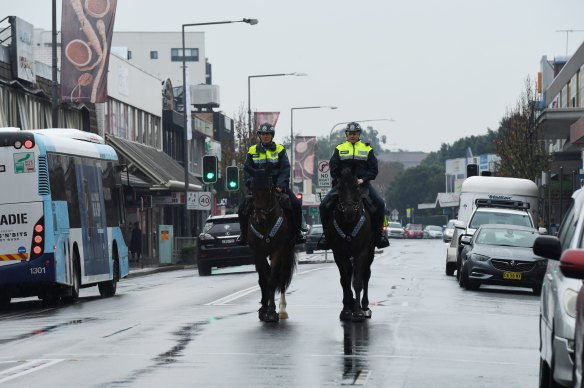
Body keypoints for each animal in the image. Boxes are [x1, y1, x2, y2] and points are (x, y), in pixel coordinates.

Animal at [246, 169, 296, 322]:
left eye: (268, 189)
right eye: (252, 189)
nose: (259, 215)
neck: (265, 223)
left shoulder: (277, 251)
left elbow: (273, 280)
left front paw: (272, 311)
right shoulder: (257, 253)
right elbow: (264, 280)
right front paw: (264, 309)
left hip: (287, 253)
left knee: (282, 277)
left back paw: (282, 310)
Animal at [324, 167, 374, 322]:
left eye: (357, 186)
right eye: (339, 187)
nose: (350, 211)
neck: (349, 224)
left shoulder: (361, 252)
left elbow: (357, 281)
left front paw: (357, 311)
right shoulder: (339, 254)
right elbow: (345, 281)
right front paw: (346, 309)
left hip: (370, 253)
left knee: (366, 276)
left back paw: (365, 307)